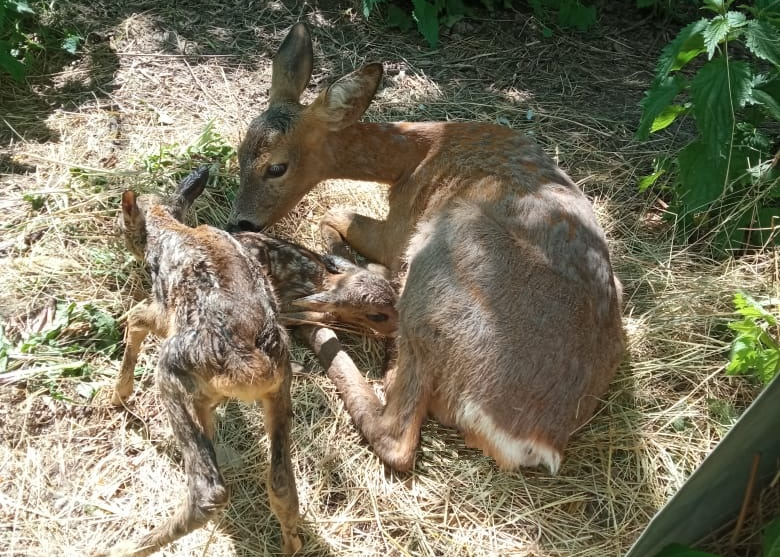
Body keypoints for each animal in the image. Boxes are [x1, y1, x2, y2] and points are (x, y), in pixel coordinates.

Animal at [100, 166, 302, 556]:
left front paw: (117, 396)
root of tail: (251, 368)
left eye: (121, 222)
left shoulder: (163, 311)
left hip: (172, 372)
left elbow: (135, 317)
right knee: (282, 482)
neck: (168, 230)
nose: (116, 235)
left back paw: (129, 546)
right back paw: (291, 545)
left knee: (209, 489)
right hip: (280, 385)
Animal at [232, 23, 628, 472]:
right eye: (240, 151)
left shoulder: (398, 230)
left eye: (277, 167)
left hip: (440, 263)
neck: (419, 155)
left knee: (398, 435)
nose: (240, 222)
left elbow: (333, 213)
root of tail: (536, 442)